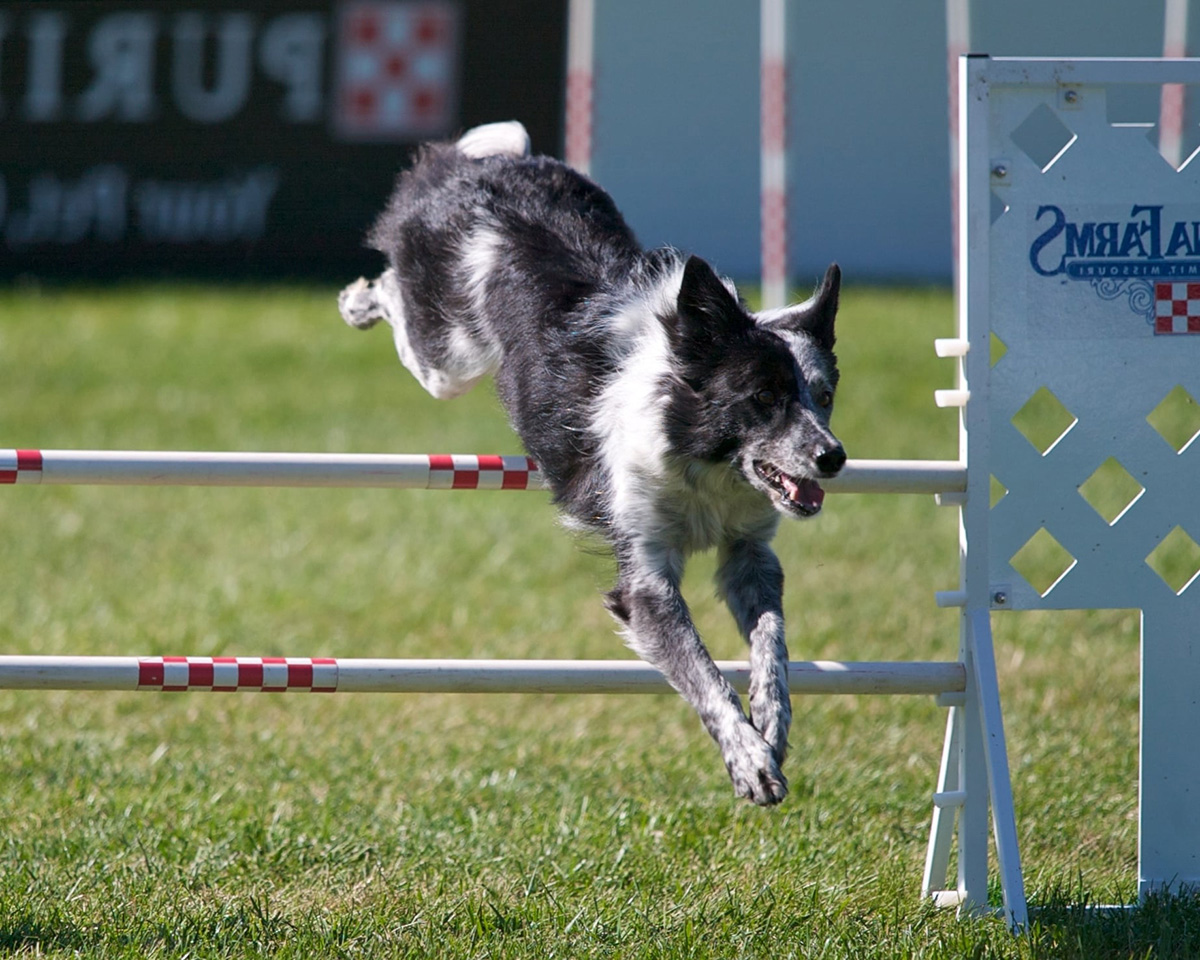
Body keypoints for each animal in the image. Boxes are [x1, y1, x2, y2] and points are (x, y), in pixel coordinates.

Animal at [338, 120, 844, 806]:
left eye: (824, 395)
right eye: (763, 397)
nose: (833, 457)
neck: (700, 455)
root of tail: (481, 169)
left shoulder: (750, 554)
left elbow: (774, 648)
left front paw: (771, 726)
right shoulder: (644, 578)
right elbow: (702, 671)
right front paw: (750, 761)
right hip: (449, 358)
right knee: (397, 295)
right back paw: (357, 300)